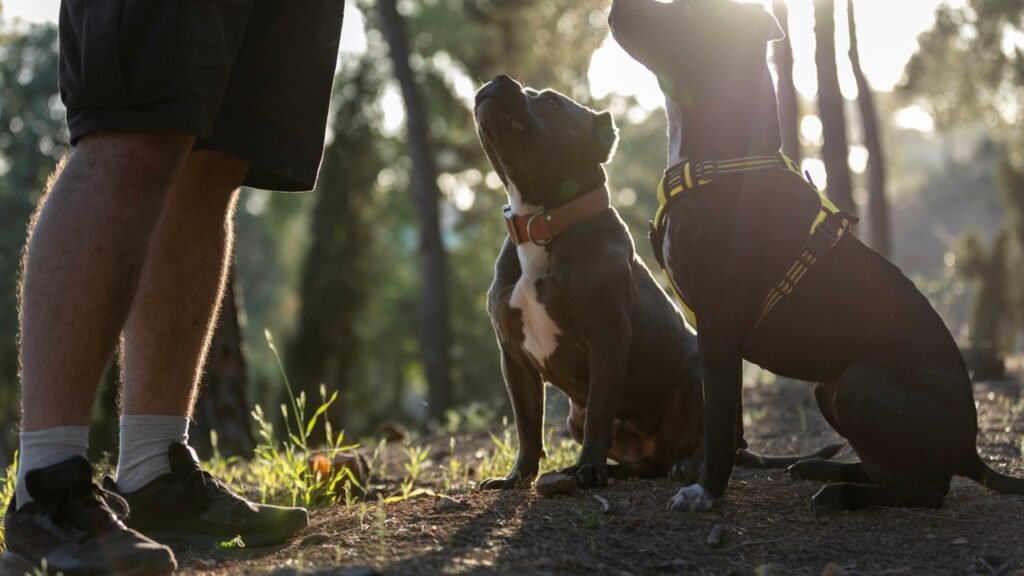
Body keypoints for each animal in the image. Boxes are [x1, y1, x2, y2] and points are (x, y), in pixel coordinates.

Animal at [606, 0, 1024, 508]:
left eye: (685, 12)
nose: (618, 4)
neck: (723, 163)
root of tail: (971, 447)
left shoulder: (719, 328)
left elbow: (720, 425)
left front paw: (706, 491)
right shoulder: (717, 336)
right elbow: (726, 417)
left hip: (859, 384)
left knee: (924, 491)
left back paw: (840, 493)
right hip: (831, 388)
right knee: (887, 471)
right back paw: (822, 469)